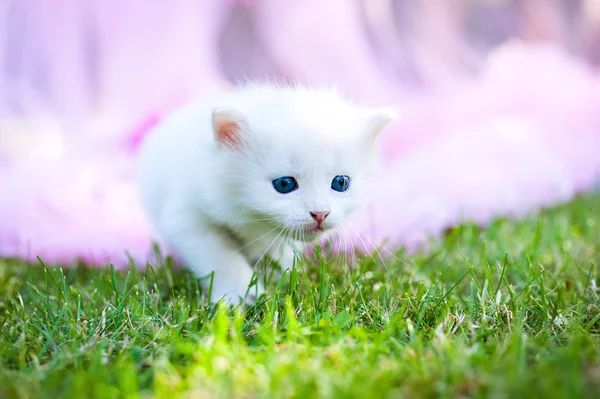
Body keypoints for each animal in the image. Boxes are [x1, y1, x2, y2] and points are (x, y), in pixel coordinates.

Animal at [138, 83, 396, 304]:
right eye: (284, 184)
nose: (321, 214)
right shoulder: (187, 216)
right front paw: (240, 294)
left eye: (340, 183)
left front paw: (283, 275)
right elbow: (220, 257)